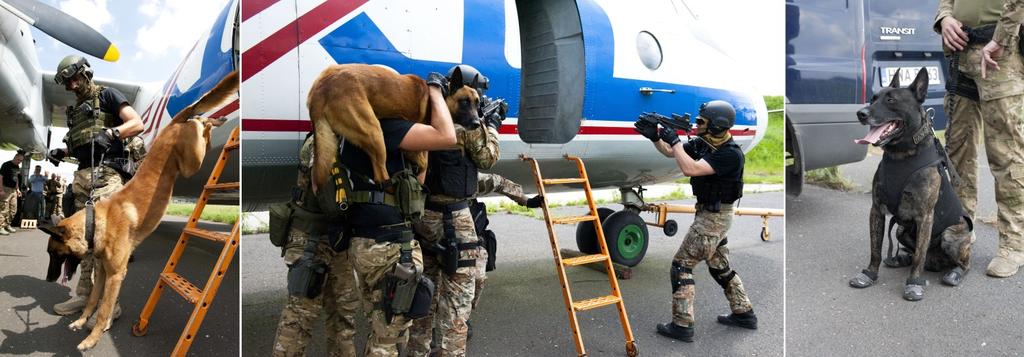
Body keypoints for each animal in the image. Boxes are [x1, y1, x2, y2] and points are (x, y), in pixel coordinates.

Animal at [40, 70, 239, 349]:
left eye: (54, 253)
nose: (48, 279)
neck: (95, 222)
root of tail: (172, 123)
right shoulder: (103, 271)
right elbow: (92, 300)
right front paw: (81, 321)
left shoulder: (116, 275)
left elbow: (104, 308)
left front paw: (92, 338)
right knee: (199, 120)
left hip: (193, 162)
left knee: (202, 125)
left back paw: (212, 121)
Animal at [305, 63, 481, 192]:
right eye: (464, 101)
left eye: (477, 103)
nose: (477, 124)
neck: (441, 97)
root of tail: (320, 87)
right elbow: (423, 162)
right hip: (375, 133)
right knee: (380, 177)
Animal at [847, 66, 974, 300]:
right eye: (873, 98)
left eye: (891, 100)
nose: (861, 113)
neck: (901, 154)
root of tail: (937, 263)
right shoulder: (876, 210)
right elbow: (875, 248)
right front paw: (869, 274)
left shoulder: (925, 217)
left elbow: (919, 257)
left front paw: (914, 283)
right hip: (900, 230)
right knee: (912, 250)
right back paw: (900, 258)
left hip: (951, 235)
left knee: (961, 262)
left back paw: (954, 273)